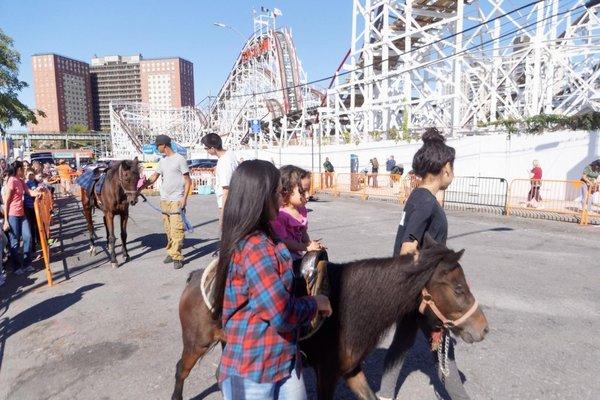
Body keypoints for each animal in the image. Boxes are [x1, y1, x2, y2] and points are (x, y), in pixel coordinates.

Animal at [169, 234, 488, 400]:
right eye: (459, 288)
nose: (483, 329)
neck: (347, 309)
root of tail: (195, 276)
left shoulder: (351, 371)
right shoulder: (328, 374)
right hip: (196, 343)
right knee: (181, 370)